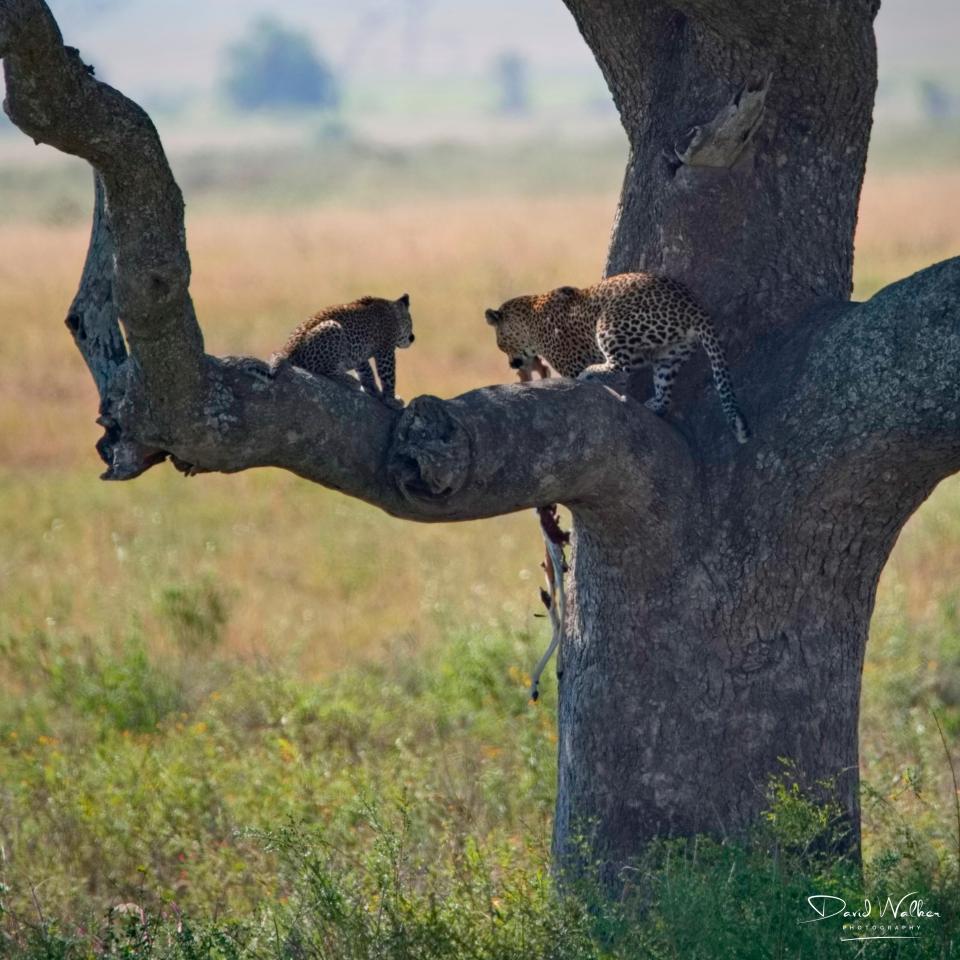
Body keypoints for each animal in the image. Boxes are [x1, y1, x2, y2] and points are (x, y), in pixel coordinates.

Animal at [270, 293, 414, 408]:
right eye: (411, 324)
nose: (413, 338)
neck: (392, 312)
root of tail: (286, 349)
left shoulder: (358, 352)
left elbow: (367, 371)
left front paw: (373, 390)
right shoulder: (386, 350)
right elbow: (389, 376)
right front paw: (392, 400)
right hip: (333, 327)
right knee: (325, 369)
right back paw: (351, 380)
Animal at [485, 272, 750, 443]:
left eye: (500, 344)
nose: (511, 364)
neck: (532, 317)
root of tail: (693, 305)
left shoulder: (570, 362)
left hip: (610, 322)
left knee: (620, 368)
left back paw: (590, 373)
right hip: (670, 354)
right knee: (664, 394)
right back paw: (654, 404)